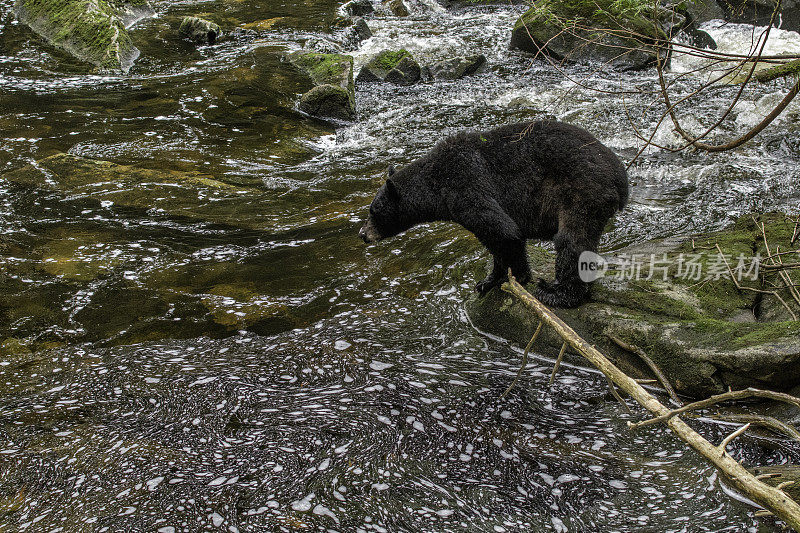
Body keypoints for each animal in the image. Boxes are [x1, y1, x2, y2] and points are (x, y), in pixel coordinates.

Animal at [360, 118, 628, 306]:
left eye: (373, 211)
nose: (363, 234)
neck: (435, 184)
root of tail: (621, 174)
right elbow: (493, 241)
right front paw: (488, 281)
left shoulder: (465, 185)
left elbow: (503, 230)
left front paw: (516, 277)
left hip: (581, 190)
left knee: (572, 241)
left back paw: (558, 293)